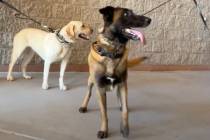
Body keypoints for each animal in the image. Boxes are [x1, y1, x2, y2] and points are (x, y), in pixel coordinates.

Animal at [79, 6, 151, 138]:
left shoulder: (123, 84)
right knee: (88, 92)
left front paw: (125, 128)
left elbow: (125, 110)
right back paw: (84, 105)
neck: (112, 51)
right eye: (126, 14)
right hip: (91, 81)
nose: (149, 19)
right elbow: (104, 113)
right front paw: (104, 130)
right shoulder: (100, 89)